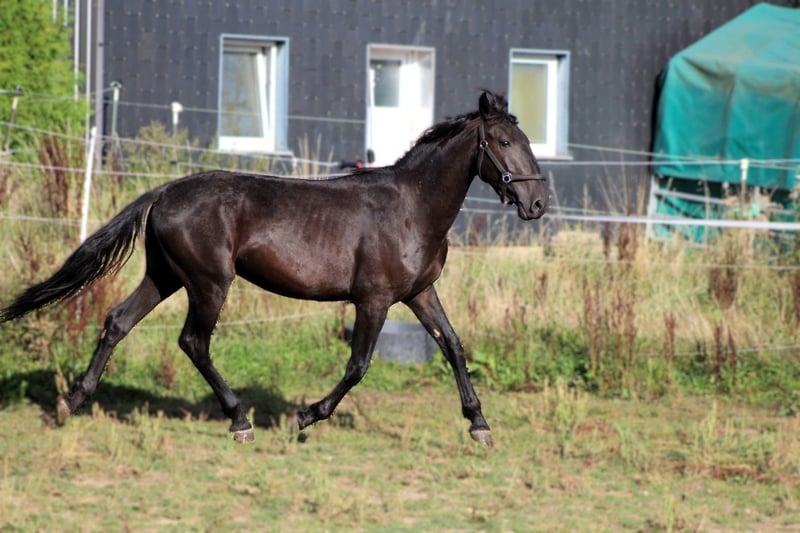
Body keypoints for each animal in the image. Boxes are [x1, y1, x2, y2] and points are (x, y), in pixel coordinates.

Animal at [0, 91, 548, 447]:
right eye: (502, 142)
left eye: (524, 139)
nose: (537, 202)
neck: (411, 208)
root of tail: (164, 192)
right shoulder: (373, 299)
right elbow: (358, 366)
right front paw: (304, 417)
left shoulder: (419, 293)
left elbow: (453, 346)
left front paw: (479, 425)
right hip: (208, 282)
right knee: (193, 342)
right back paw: (240, 420)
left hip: (166, 276)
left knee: (118, 321)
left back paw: (72, 401)